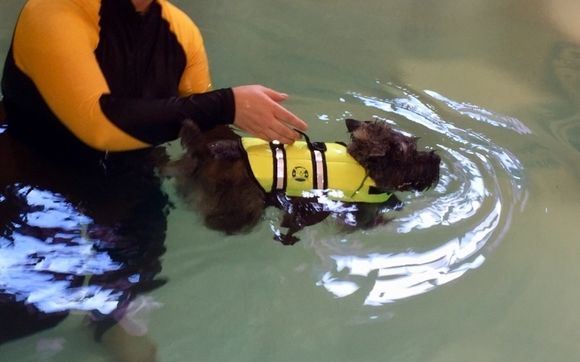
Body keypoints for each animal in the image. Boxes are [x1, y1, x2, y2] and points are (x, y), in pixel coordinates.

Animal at [165, 118, 442, 243]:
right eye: (411, 153)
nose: (437, 159)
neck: (360, 165)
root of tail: (204, 152)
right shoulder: (355, 214)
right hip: (243, 207)